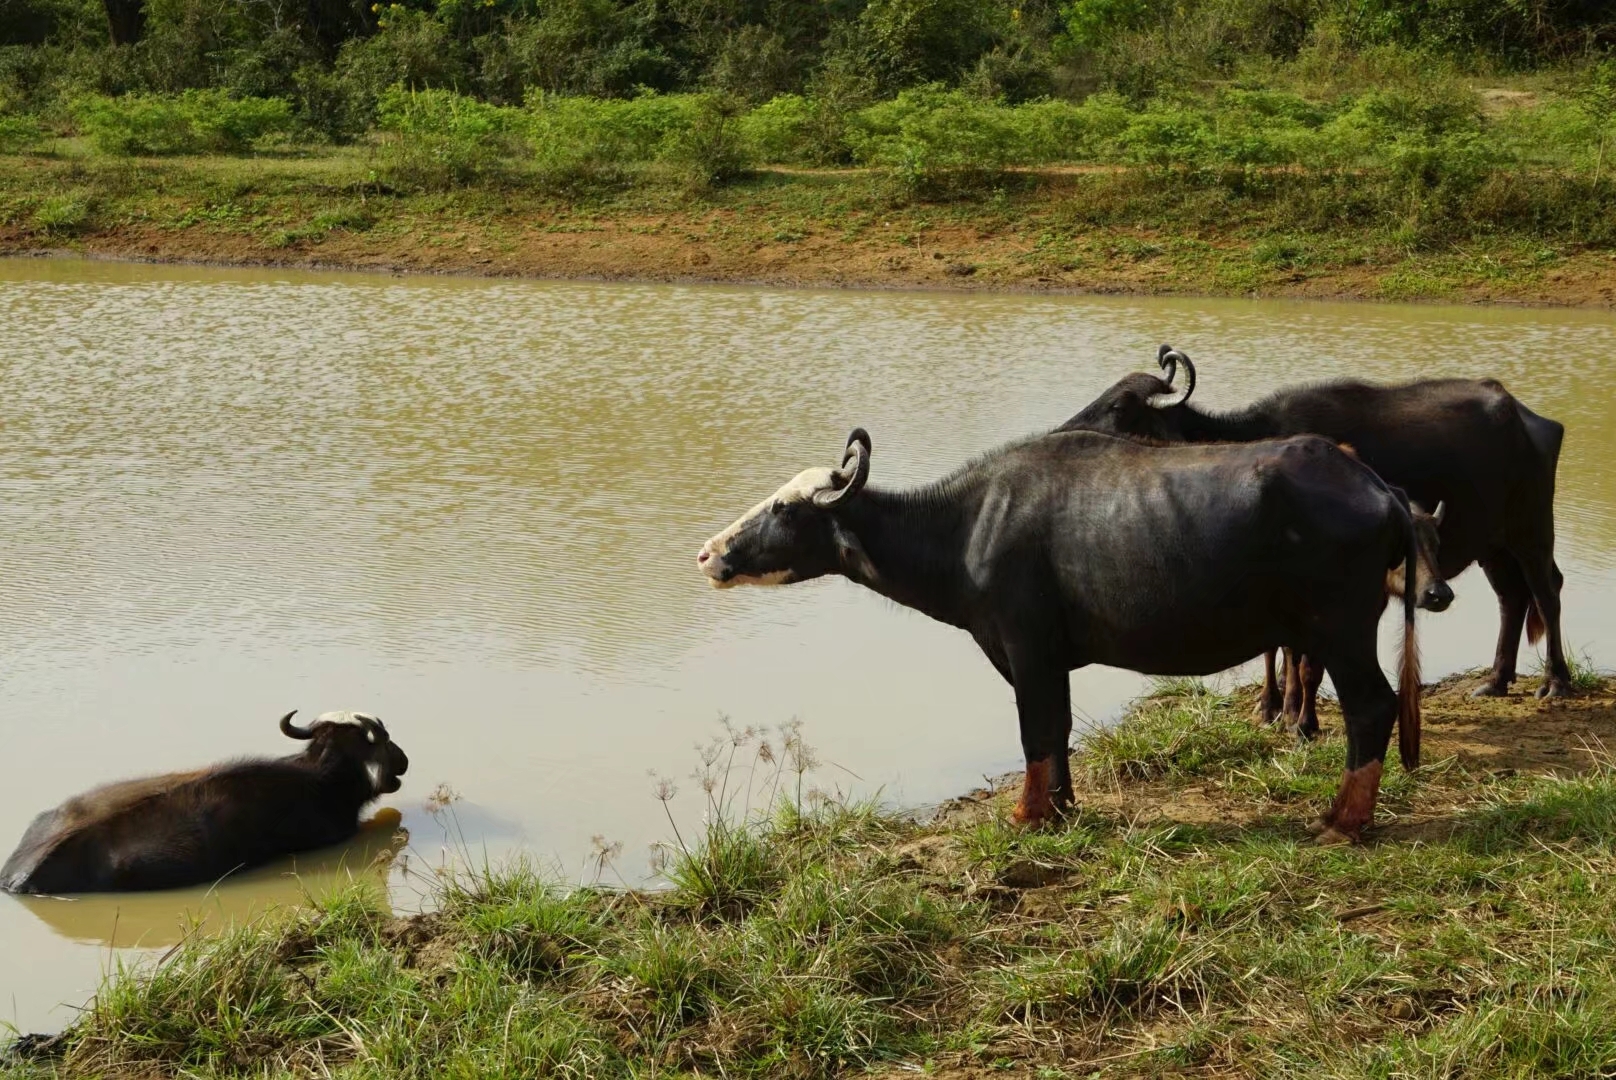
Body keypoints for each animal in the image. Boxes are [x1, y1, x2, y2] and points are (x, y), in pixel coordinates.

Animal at [701, 426, 1422, 840]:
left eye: (784, 508)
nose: (708, 553)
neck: (967, 528)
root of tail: (1380, 490)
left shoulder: (1027, 652)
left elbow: (1036, 732)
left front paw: (1029, 815)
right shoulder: (1048, 661)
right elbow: (1061, 730)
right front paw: (1064, 805)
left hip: (1341, 632)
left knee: (1372, 707)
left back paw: (1343, 821)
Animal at [1053, 347, 1570, 701]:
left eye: (1119, 406)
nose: (1063, 431)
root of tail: (1529, 418)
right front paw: (1275, 703)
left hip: (1532, 528)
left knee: (1547, 590)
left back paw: (1555, 682)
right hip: (1493, 542)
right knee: (1511, 598)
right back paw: (1496, 681)